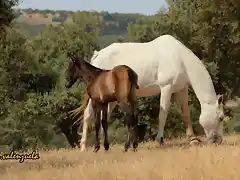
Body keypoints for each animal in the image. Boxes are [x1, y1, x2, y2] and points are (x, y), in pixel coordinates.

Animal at [69, 34, 229, 152]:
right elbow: (163, 114)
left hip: (111, 99)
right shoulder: (166, 88)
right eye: (221, 118)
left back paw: (104, 144)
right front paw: (160, 140)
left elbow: (186, 113)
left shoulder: (181, 89)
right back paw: (83, 146)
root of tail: (98, 54)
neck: (180, 59)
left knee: (105, 116)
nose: (218, 141)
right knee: (88, 115)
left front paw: (192, 139)